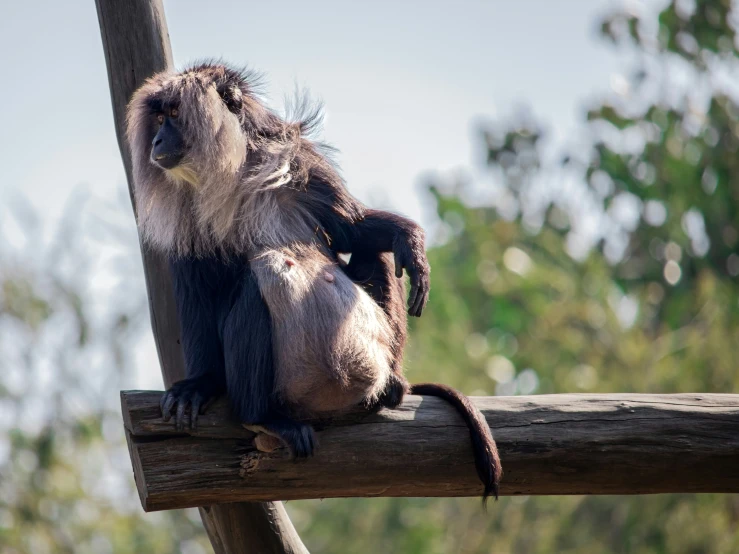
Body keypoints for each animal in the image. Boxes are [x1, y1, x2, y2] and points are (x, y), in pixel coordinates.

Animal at [127, 62, 502, 498]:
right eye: (158, 120)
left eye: (172, 115)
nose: (157, 140)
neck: (233, 175)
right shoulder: (187, 214)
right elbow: (198, 293)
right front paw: (199, 384)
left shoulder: (301, 160)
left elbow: (351, 230)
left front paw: (411, 243)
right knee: (253, 288)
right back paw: (261, 417)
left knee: (374, 253)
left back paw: (392, 385)